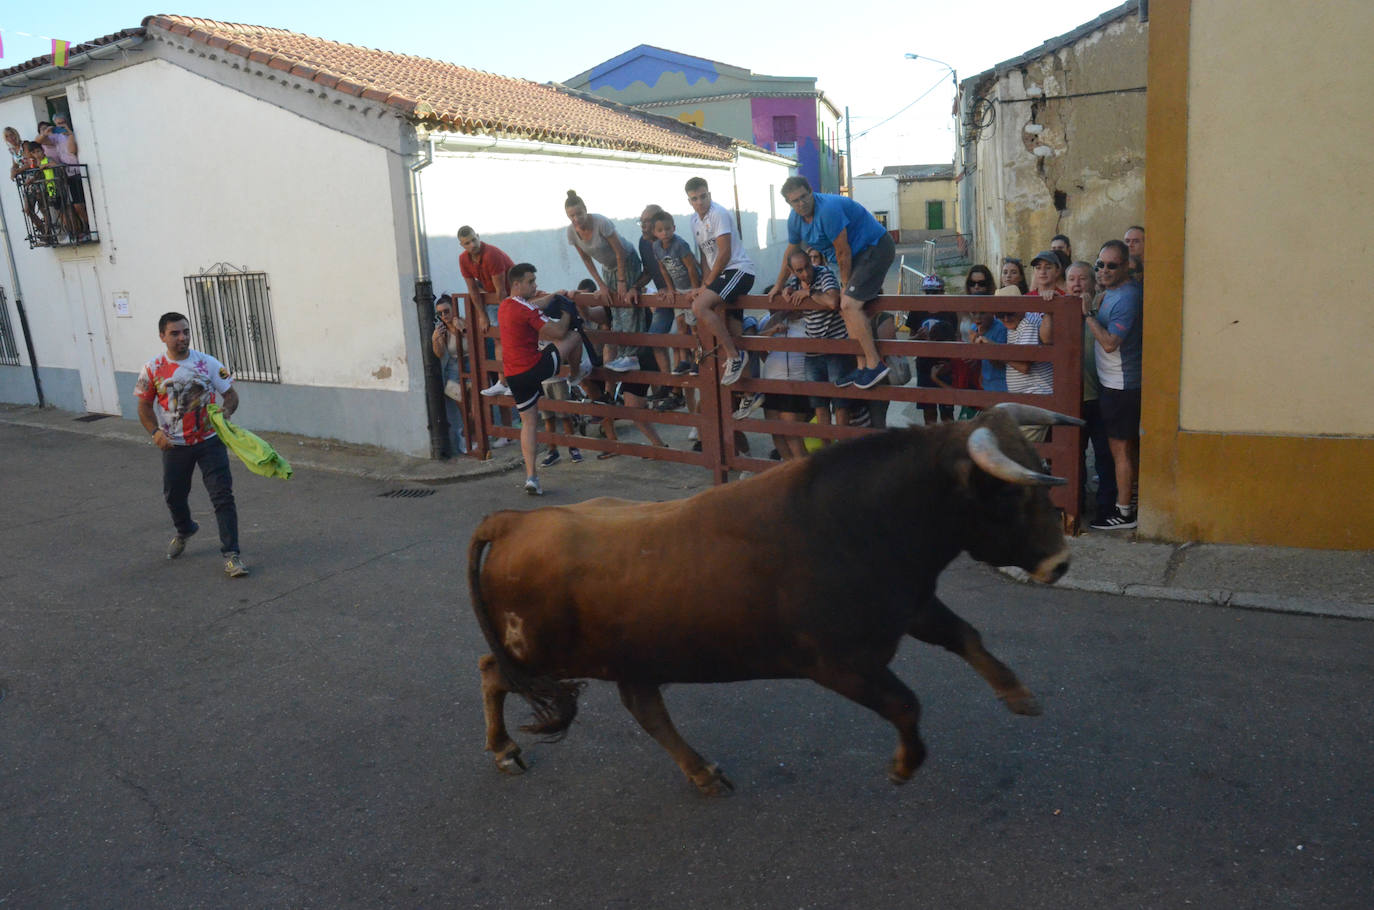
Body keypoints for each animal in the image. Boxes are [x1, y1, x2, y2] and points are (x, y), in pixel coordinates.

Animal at [472, 404, 1082, 797]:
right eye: (1009, 493)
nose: (1060, 562)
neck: (862, 519)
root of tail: (511, 521)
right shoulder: (841, 665)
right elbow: (907, 705)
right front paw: (904, 766)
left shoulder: (911, 607)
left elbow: (967, 636)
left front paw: (1018, 694)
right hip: (541, 653)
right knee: (493, 672)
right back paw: (503, 750)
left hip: (628, 658)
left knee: (643, 708)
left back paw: (702, 773)